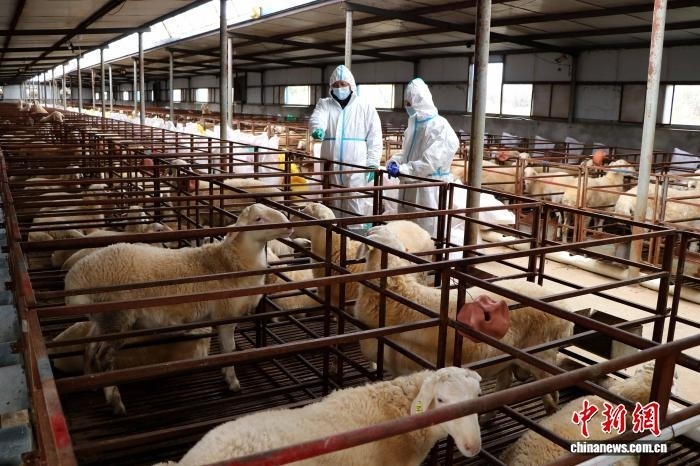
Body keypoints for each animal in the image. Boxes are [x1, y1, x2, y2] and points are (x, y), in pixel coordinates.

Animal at [354, 225, 574, 416]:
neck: (399, 294)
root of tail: (566, 310)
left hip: (543, 355)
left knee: (552, 393)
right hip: (508, 357)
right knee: (506, 384)